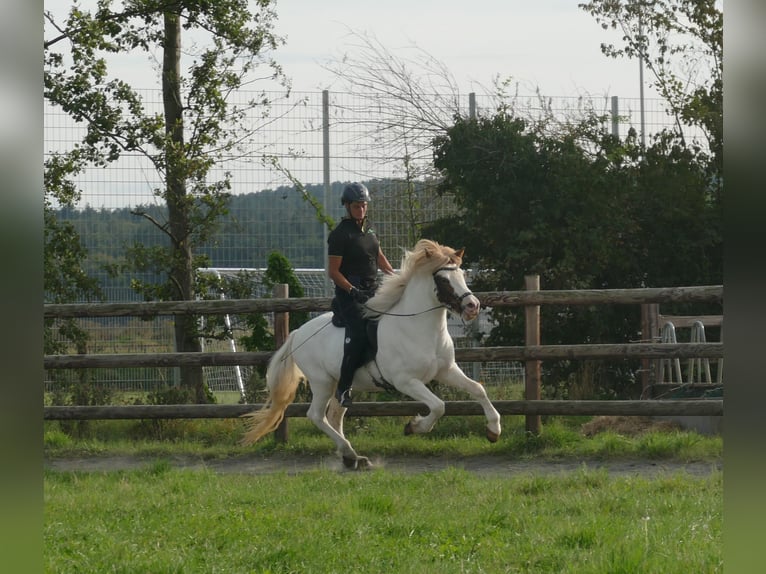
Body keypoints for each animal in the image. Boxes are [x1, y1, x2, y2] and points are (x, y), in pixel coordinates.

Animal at [242, 241, 504, 470]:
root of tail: (297, 334)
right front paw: (414, 427)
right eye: (442, 279)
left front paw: (493, 431)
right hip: (322, 382)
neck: (419, 328)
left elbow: (478, 389)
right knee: (316, 415)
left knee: (334, 415)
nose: (472, 306)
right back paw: (349, 452)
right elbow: (439, 406)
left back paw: (352, 458)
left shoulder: (446, 370)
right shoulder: (406, 382)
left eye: (462, 275)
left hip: (341, 384)